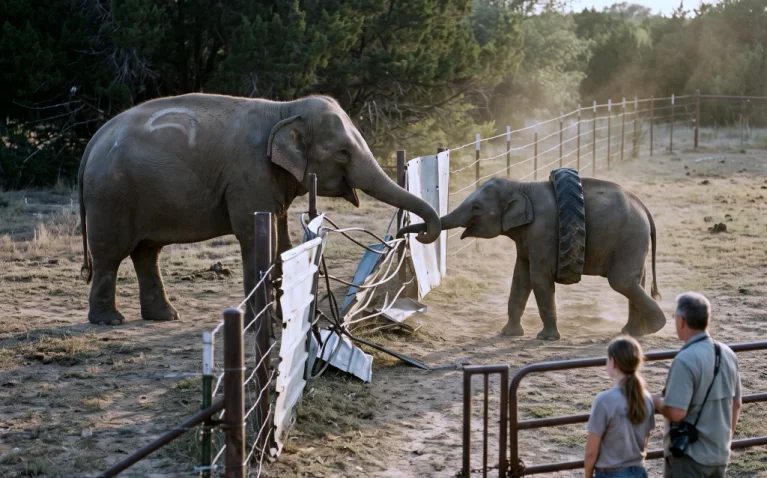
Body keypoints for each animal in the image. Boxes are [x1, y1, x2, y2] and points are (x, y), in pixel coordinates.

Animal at [77, 92, 441, 326]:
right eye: (342, 152)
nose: (418, 231)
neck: (284, 110)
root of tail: (92, 142)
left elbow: (282, 238)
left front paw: (282, 317)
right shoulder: (249, 175)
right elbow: (254, 236)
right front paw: (262, 324)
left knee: (146, 252)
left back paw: (165, 316)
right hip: (110, 197)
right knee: (111, 254)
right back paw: (109, 321)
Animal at [397, 176, 666, 340]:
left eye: (476, 208)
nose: (411, 233)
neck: (521, 185)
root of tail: (644, 207)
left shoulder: (543, 231)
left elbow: (537, 277)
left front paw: (546, 338)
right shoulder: (526, 236)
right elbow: (520, 278)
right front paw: (508, 334)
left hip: (630, 236)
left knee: (622, 282)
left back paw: (655, 327)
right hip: (633, 241)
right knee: (635, 281)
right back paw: (632, 333)